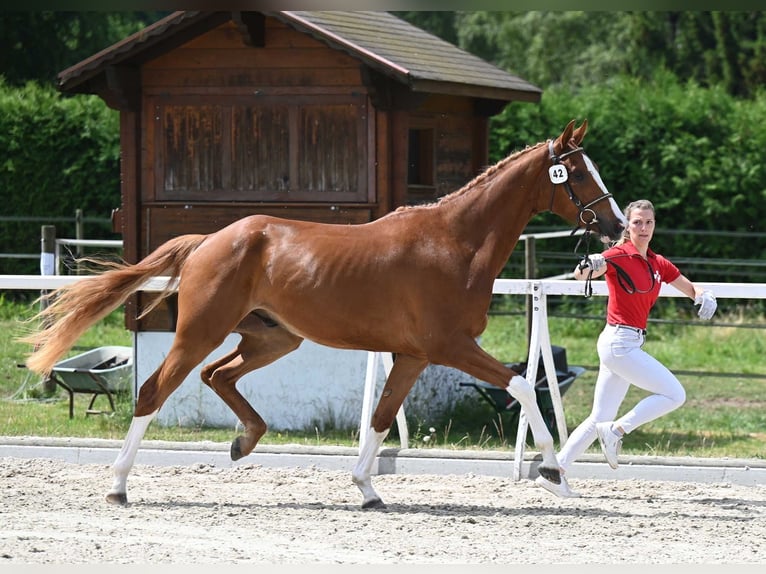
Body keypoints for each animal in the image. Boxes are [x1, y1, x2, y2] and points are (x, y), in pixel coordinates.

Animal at [24, 119, 624, 510]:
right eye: (577, 173)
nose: (618, 226)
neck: (455, 242)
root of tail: (207, 242)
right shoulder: (449, 347)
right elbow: (523, 386)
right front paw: (553, 473)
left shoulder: (412, 355)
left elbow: (381, 418)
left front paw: (367, 489)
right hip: (201, 331)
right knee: (155, 390)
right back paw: (119, 485)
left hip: (273, 339)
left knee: (217, 375)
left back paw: (244, 441)